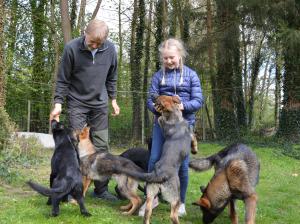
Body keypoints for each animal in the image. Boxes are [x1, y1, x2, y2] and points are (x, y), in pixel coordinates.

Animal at [115, 95, 192, 224]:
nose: (153, 95)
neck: (174, 119)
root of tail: (159, 174)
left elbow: (161, 119)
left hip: (150, 192)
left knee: (147, 210)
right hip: (173, 196)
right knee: (173, 215)